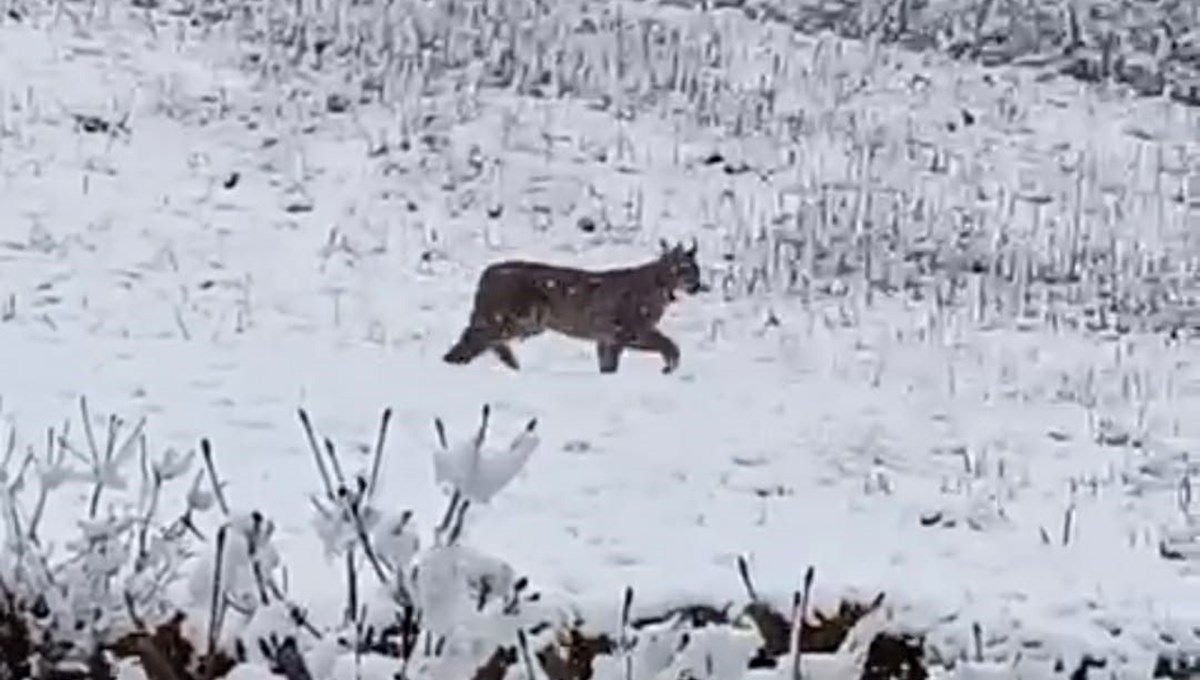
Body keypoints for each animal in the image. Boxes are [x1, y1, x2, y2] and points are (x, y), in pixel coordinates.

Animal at [444, 239, 705, 374]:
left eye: (697, 270)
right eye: (686, 269)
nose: (697, 285)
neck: (661, 282)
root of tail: (489, 271)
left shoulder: (609, 338)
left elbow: (609, 363)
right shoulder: (631, 330)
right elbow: (669, 344)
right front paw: (670, 367)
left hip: (523, 322)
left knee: (486, 339)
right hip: (520, 318)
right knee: (480, 337)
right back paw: (456, 363)